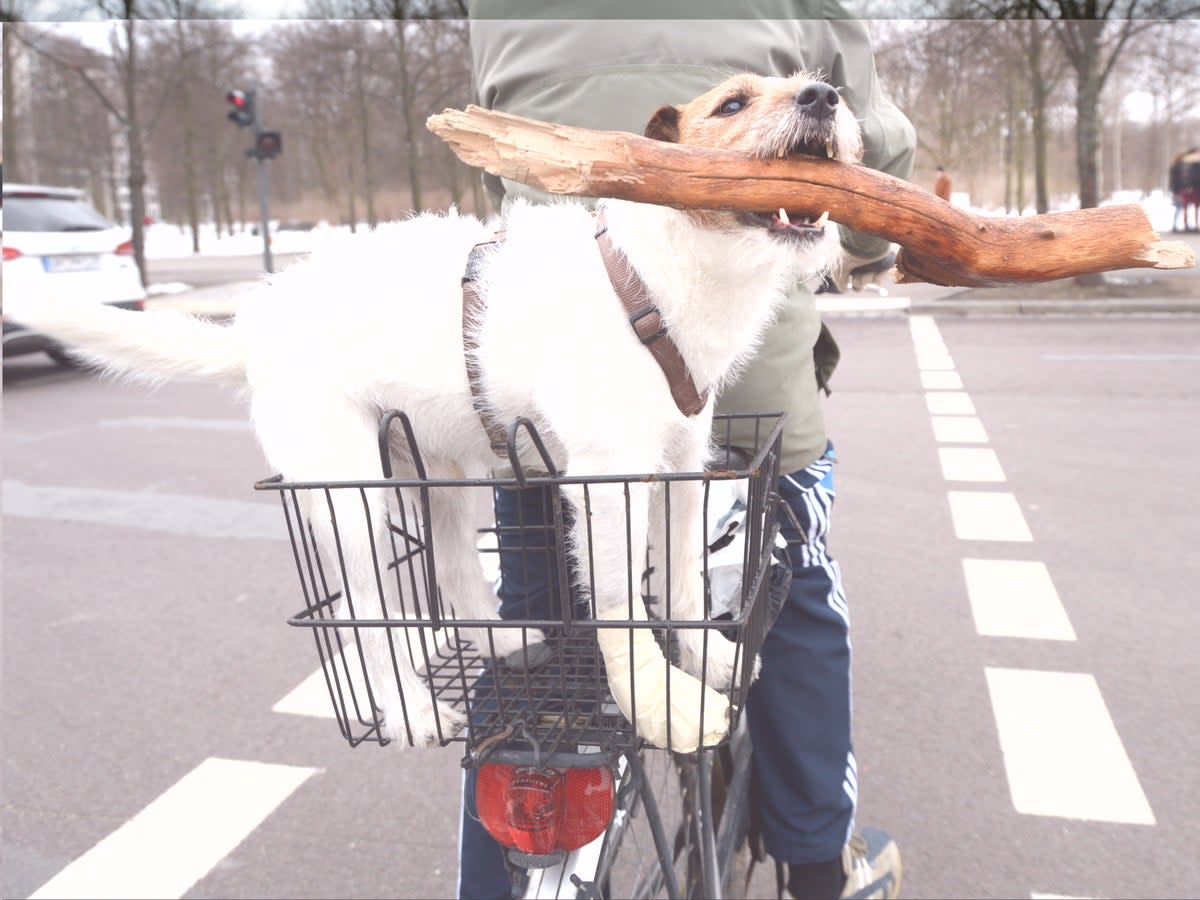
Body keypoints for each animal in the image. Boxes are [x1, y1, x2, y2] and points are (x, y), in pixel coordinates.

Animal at [4, 74, 859, 753]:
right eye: (733, 103)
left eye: (807, 85)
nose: (826, 95)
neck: (655, 281)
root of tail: (254, 327)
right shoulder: (601, 479)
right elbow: (621, 603)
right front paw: (664, 707)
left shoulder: (680, 467)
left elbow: (680, 585)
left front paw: (707, 663)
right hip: (349, 500)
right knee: (364, 614)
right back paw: (412, 711)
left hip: (440, 474)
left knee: (450, 569)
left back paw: (501, 641)